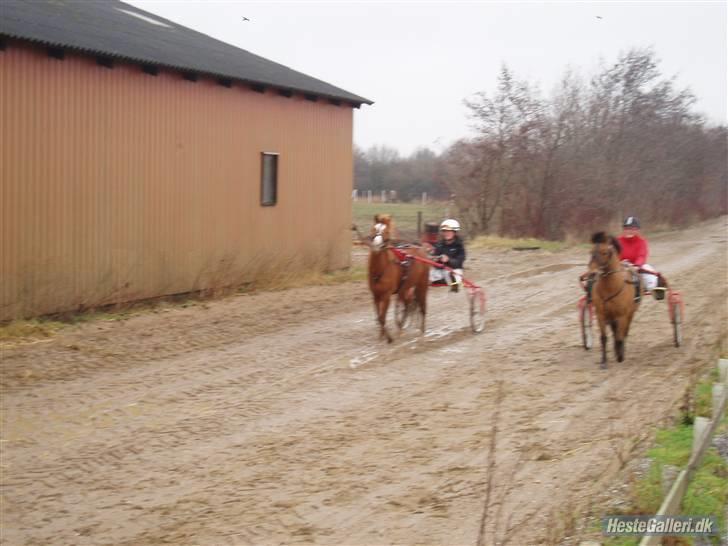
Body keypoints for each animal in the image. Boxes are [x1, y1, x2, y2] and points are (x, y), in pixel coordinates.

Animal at [366, 212, 430, 340]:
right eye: (374, 229)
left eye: (386, 231)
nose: (376, 245)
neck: (381, 269)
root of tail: (421, 250)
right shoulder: (375, 295)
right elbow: (379, 317)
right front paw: (381, 336)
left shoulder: (386, 296)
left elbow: (382, 317)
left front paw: (389, 338)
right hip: (404, 288)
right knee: (407, 304)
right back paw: (401, 327)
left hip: (422, 285)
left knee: (422, 306)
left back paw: (422, 331)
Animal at [588, 232, 640, 368]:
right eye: (591, 251)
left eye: (605, 252)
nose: (592, 273)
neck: (610, 288)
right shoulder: (601, 315)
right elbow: (604, 338)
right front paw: (603, 362)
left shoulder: (622, 316)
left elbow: (620, 337)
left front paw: (620, 356)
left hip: (630, 313)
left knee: (624, 333)